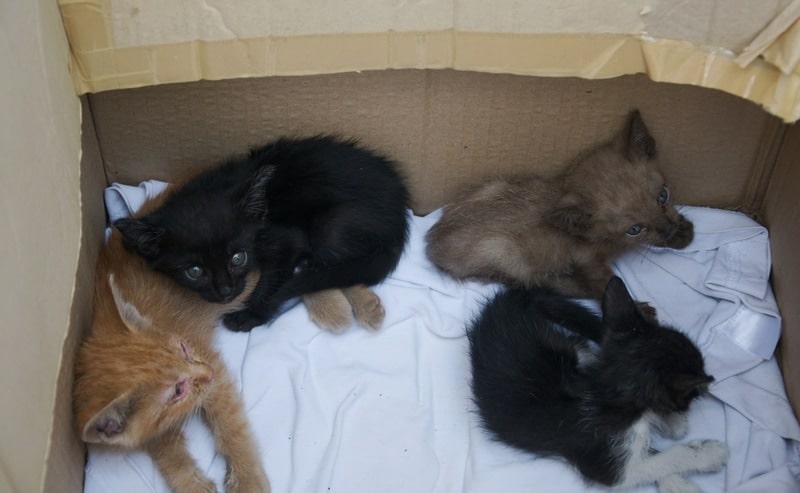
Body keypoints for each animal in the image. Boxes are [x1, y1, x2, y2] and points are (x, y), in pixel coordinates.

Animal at [73, 228, 270, 492]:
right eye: (177, 391)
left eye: (184, 348)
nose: (207, 373)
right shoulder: (147, 429)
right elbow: (165, 449)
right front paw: (192, 483)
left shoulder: (211, 363)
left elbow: (230, 422)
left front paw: (247, 479)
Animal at [115, 135, 410, 330]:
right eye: (194, 271)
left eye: (238, 258)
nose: (225, 291)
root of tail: (401, 215)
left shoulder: (290, 239)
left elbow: (271, 281)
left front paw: (250, 315)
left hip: (331, 229)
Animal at [424, 109, 692, 298]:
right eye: (634, 229)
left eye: (663, 195)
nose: (670, 228)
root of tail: (433, 242)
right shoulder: (585, 260)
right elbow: (605, 284)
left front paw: (683, 233)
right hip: (506, 256)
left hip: (494, 185)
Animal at [468, 274, 732, 490]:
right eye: (694, 392)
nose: (706, 385)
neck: (606, 390)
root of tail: (509, 300)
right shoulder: (607, 461)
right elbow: (660, 460)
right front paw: (707, 454)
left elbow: (651, 449)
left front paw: (672, 425)